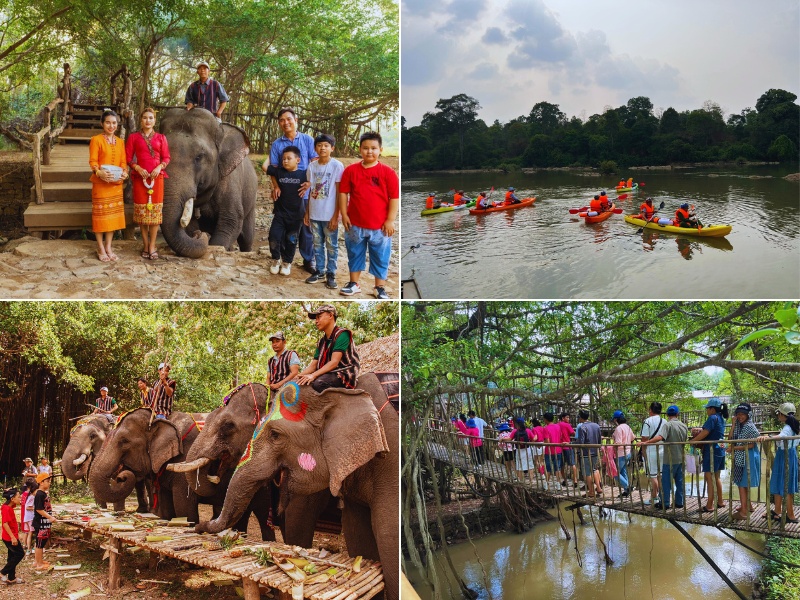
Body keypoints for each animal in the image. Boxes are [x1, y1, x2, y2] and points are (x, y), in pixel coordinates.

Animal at [156, 108, 256, 258]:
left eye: (199, 157)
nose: (198, 234)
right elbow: (190, 224)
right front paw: (195, 232)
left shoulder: (230, 181)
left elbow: (231, 221)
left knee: (247, 239)